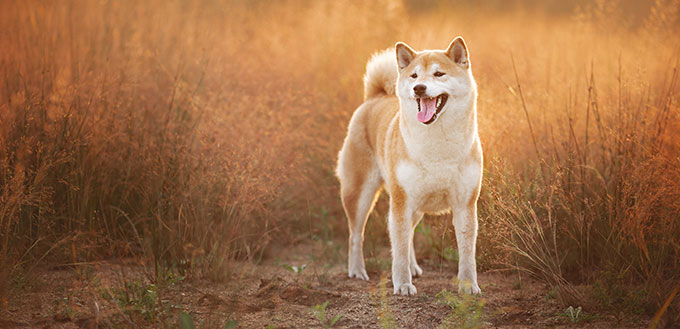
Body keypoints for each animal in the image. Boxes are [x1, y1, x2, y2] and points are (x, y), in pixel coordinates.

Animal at [338, 36, 480, 294]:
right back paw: (357, 271)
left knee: (410, 233)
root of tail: (374, 98)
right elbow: (399, 250)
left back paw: (413, 267)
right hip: (361, 194)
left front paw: (468, 285)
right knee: (356, 235)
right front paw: (403, 283)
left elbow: (467, 253)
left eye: (439, 73)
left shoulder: (465, 203)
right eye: (414, 76)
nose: (419, 88)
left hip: (415, 206)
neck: (437, 144)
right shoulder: (401, 201)